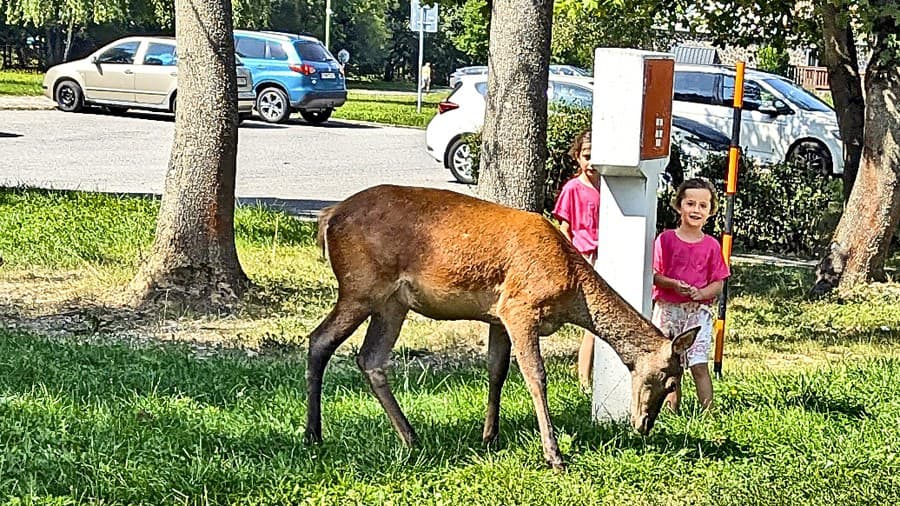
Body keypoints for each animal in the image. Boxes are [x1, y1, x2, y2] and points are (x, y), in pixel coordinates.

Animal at [302, 184, 696, 468]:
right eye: (672, 381)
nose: (644, 426)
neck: (573, 289)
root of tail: (328, 218)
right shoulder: (520, 307)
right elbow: (536, 375)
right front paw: (554, 455)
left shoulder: (498, 316)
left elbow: (497, 370)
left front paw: (489, 437)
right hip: (360, 287)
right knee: (319, 340)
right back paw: (313, 436)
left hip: (392, 304)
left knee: (370, 358)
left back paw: (411, 437)